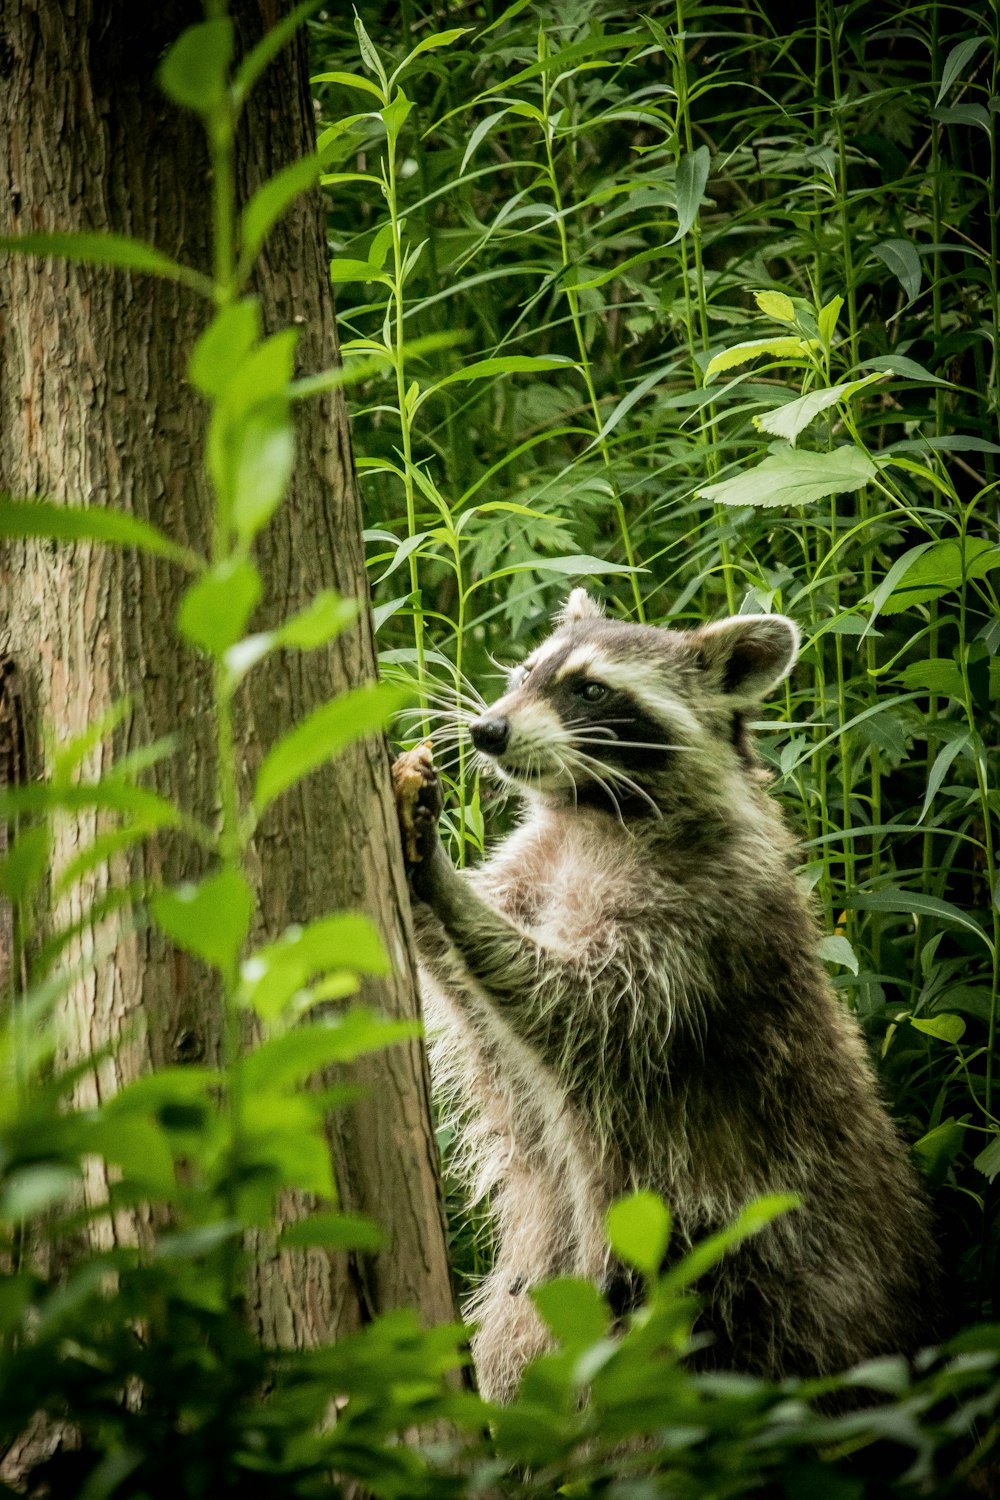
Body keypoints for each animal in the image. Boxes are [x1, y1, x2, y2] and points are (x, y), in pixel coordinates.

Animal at [395, 588, 941, 1404]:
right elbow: (479, 1000)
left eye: (591, 690)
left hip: (751, 1281)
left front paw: (446, 885)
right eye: (525, 673)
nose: (488, 729)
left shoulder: (698, 920)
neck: (592, 810)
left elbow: (583, 1005)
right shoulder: (537, 864)